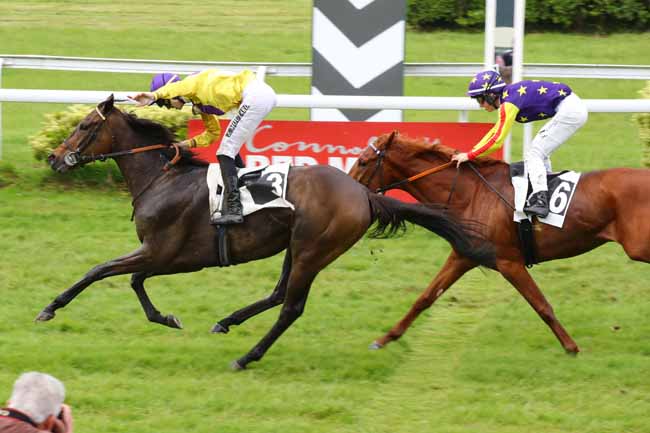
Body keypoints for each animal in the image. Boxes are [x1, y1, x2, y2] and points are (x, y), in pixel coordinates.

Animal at [39, 97, 492, 368]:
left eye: (84, 126)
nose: (54, 157)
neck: (162, 178)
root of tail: (363, 192)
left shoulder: (164, 252)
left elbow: (101, 271)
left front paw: (50, 307)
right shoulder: (168, 257)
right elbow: (133, 280)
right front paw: (167, 317)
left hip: (314, 249)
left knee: (291, 307)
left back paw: (247, 356)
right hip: (297, 245)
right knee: (278, 294)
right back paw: (227, 321)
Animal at [350, 132, 648, 354]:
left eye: (363, 161)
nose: (347, 189)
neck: (471, 194)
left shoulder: (509, 262)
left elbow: (542, 306)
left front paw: (571, 347)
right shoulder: (463, 256)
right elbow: (425, 298)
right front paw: (385, 339)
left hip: (638, 246)